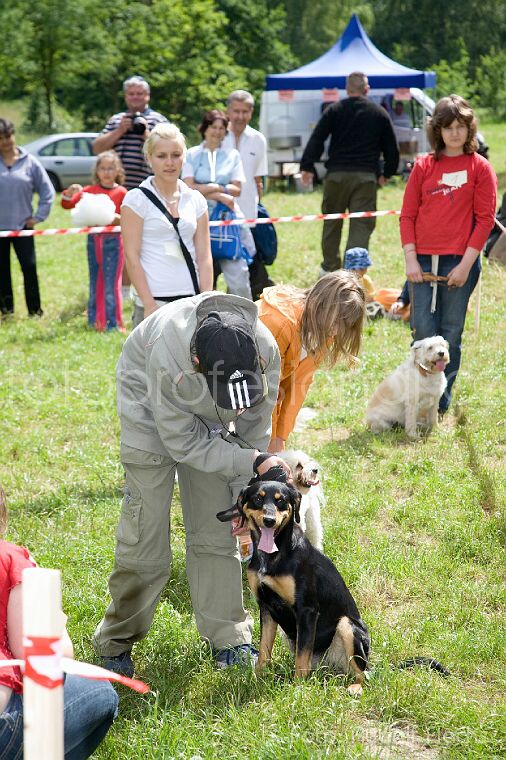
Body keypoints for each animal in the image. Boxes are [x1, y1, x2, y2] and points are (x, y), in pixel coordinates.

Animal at [215, 480, 370, 696]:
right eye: (257, 499)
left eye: (281, 501)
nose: (269, 520)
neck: (273, 555)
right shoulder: (266, 606)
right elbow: (264, 650)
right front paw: (257, 678)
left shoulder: (307, 610)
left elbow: (301, 658)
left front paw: (298, 689)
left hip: (347, 626)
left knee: (363, 672)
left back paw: (355, 686)